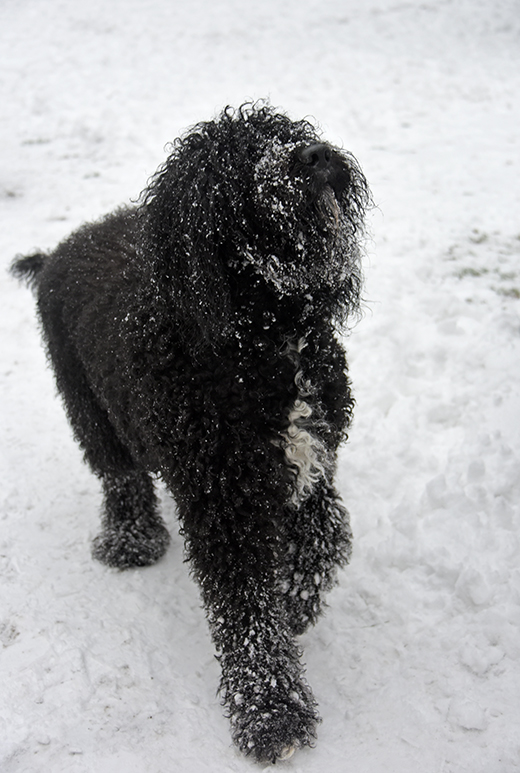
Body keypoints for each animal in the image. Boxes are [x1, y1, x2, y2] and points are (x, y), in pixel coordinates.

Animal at [11, 102, 370, 760]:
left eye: (289, 131)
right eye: (233, 158)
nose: (314, 156)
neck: (264, 341)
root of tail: (59, 250)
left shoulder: (313, 460)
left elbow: (327, 537)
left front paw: (294, 599)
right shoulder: (222, 502)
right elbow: (248, 615)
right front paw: (272, 715)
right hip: (88, 407)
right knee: (120, 477)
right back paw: (131, 541)